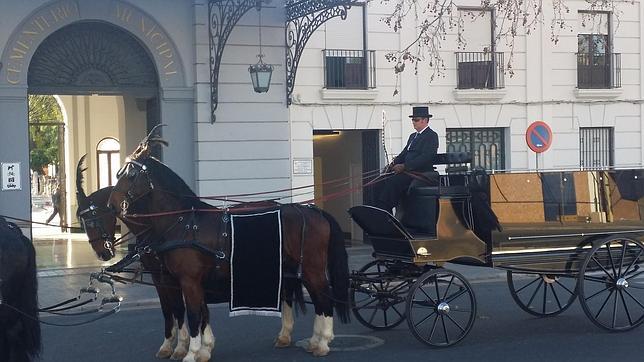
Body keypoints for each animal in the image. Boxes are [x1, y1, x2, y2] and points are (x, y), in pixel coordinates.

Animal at [75, 156, 190, 360]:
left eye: (92, 221)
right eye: (82, 224)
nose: (102, 254)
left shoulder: (172, 275)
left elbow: (178, 306)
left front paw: (183, 346)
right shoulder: (158, 275)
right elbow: (167, 308)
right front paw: (168, 344)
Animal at [104, 139, 348, 362]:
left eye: (131, 174)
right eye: (119, 173)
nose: (111, 205)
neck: (183, 223)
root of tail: (312, 210)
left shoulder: (188, 280)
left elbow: (193, 314)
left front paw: (191, 353)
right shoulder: (180, 280)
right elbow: (196, 312)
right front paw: (202, 349)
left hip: (312, 268)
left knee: (324, 297)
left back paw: (323, 342)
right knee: (316, 298)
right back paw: (313, 340)